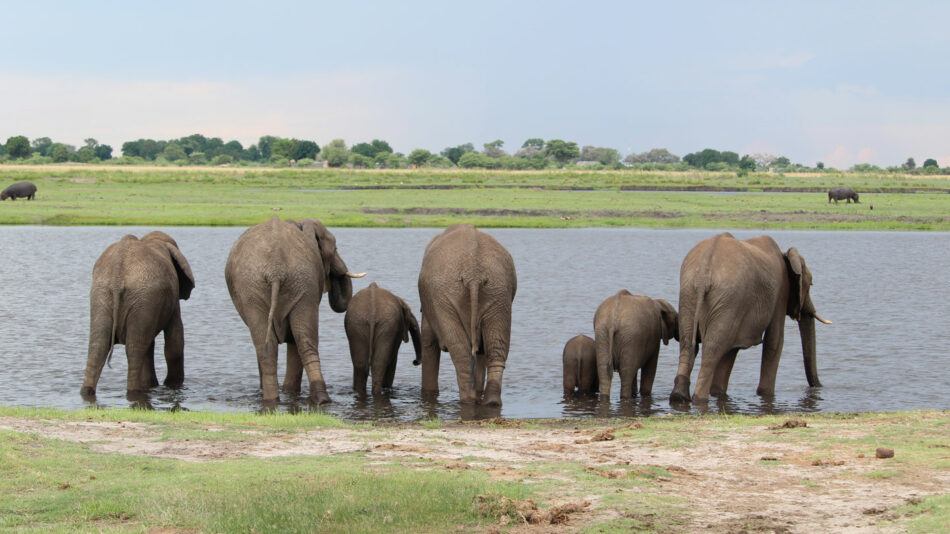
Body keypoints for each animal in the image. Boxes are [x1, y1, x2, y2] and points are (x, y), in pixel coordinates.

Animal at [82, 230, 198, 398]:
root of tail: (119, 271)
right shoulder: (172, 296)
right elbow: (175, 341)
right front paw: (171, 385)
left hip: (103, 295)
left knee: (99, 346)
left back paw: (86, 391)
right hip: (141, 295)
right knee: (134, 349)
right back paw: (134, 392)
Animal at [225, 218, 366, 406]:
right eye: (335, 248)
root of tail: (275, 266)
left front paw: (289, 392)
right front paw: (290, 393)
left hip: (292, 283)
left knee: (292, 342)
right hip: (272, 285)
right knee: (298, 341)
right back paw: (311, 401)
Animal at [418, 225, 516, 406]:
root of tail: (473, 273)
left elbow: (429, 343)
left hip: (447, 297)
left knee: (461, 352)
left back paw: (469, 400)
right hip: (499, 292)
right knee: (496, 348)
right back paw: (490, 403)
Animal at [668, 232, 832, 404]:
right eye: (811, 284)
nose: (818, 387)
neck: (784, 255)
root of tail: (703, 275)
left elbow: (731, 351)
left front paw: (718, 392)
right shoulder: (780, 292)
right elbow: (774, 342)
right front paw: (765, 395)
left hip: (690, 295)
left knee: (688, 345)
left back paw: (679, 397)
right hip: (728, 298)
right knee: (712, 349)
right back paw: (699, 399)